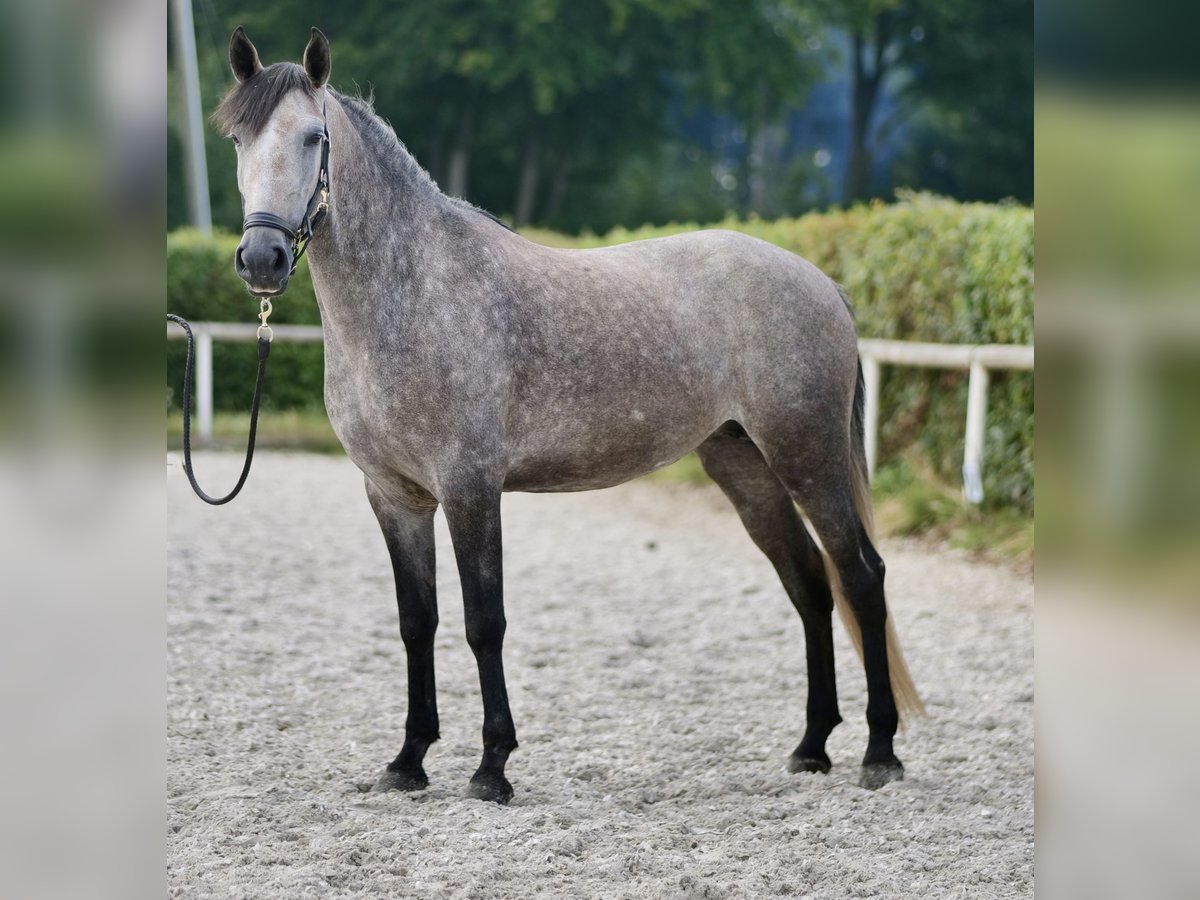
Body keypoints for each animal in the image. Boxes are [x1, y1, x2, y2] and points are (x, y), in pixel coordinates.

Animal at [216, 26, 921, 801]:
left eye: (313, 137)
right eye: (238, 140)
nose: (262, 257)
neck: (415, 294)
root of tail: (823, 282)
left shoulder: (470, 487)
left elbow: (483, 622)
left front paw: (492, 767)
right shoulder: (394, 498)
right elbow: (416, 622)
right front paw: (408, 761)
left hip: (807, 457)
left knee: (861, 577)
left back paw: (880, 752)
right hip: (747, 466)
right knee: (810, 586)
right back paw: (811, 746)